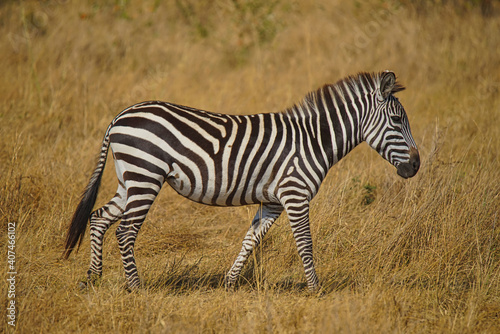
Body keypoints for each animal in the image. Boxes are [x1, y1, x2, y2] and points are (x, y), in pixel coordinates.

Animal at [64, 71, 420, 292]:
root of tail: (119, 117)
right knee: (124, 231)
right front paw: (315, 289)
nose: (416, 166)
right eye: (396, 120)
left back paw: (92, 278)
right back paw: (136, 288)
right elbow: (305, 244)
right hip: (145, 175)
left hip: (130, 178)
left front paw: (229, 284)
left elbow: (250, 241)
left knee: (98, 218)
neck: (313, 140)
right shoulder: (295, 194)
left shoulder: (273, 202)